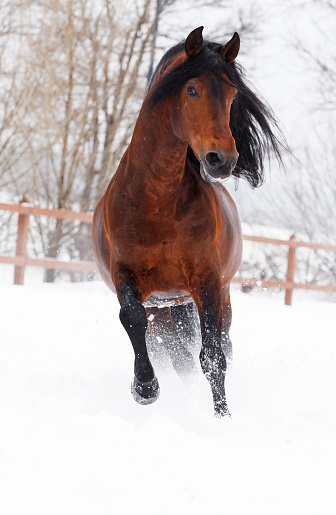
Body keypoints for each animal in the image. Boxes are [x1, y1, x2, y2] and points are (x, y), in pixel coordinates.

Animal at [92, 26, 284, 418]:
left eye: (232, 94)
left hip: (205, 300)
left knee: (217, 347)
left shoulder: (206, 280)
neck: (157, 203)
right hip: (166, 311)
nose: (222, 159)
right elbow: (131, 317)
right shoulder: (125, 275)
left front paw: (222, 417)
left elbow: (212, 355)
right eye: (191, 90)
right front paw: (144, 388)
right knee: (169, 350)